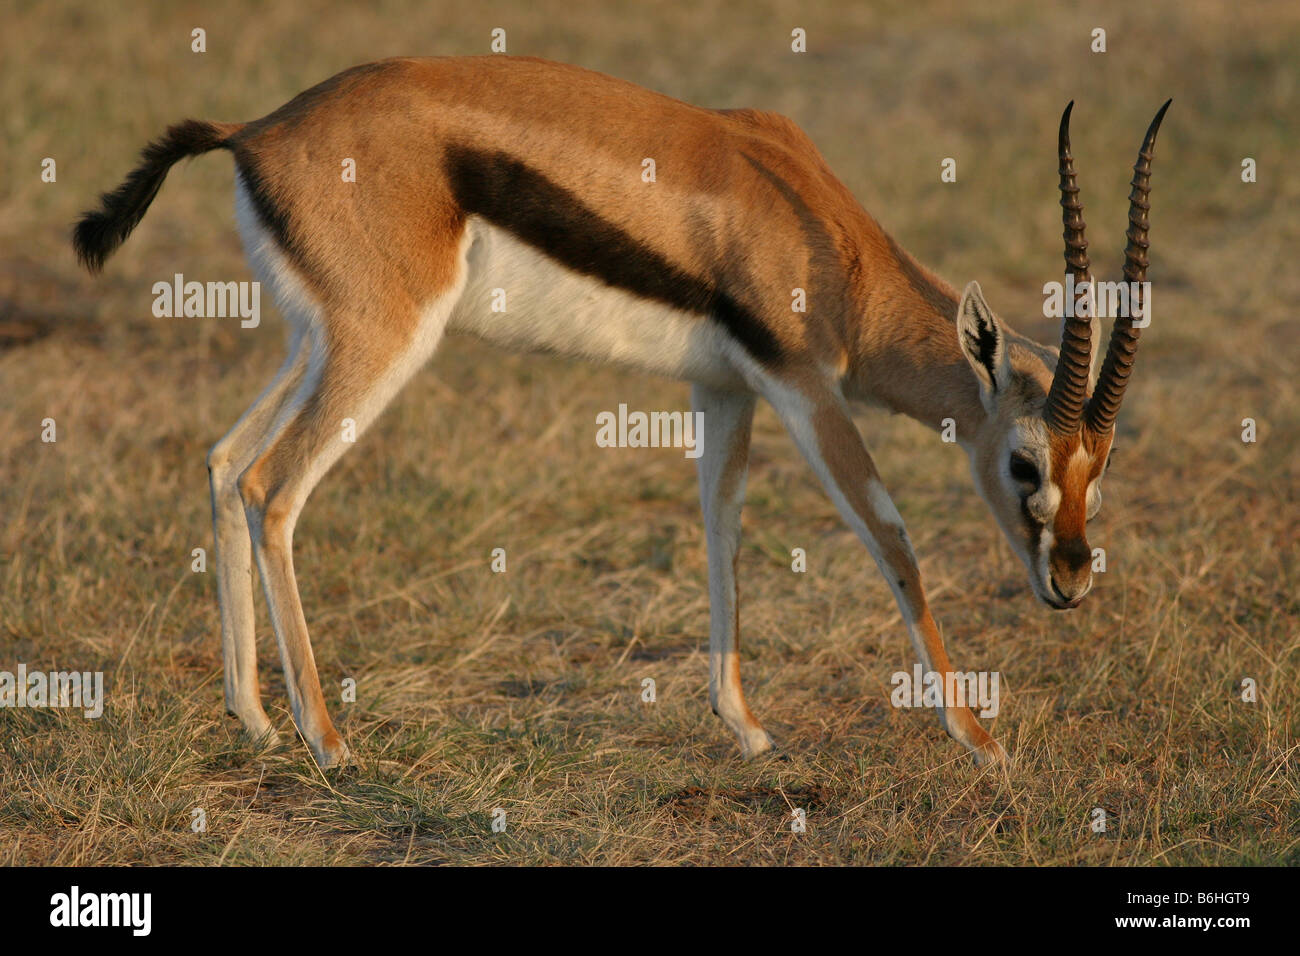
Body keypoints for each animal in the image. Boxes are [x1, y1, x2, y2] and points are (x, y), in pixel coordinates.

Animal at [72, 56, 1168, 768]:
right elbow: (893, 540)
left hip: (319, 340)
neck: (826, 243)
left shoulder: (727, 387)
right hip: (381, 342)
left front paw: (747, 729)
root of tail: (257, 132)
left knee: (224, 460)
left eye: (1101, 466)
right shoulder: (806, 388)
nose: (1071, 577)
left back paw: (254, 721)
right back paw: (328, 742)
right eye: (1024, 461)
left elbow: (721, 529)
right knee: (273, 485)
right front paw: (979, 740)